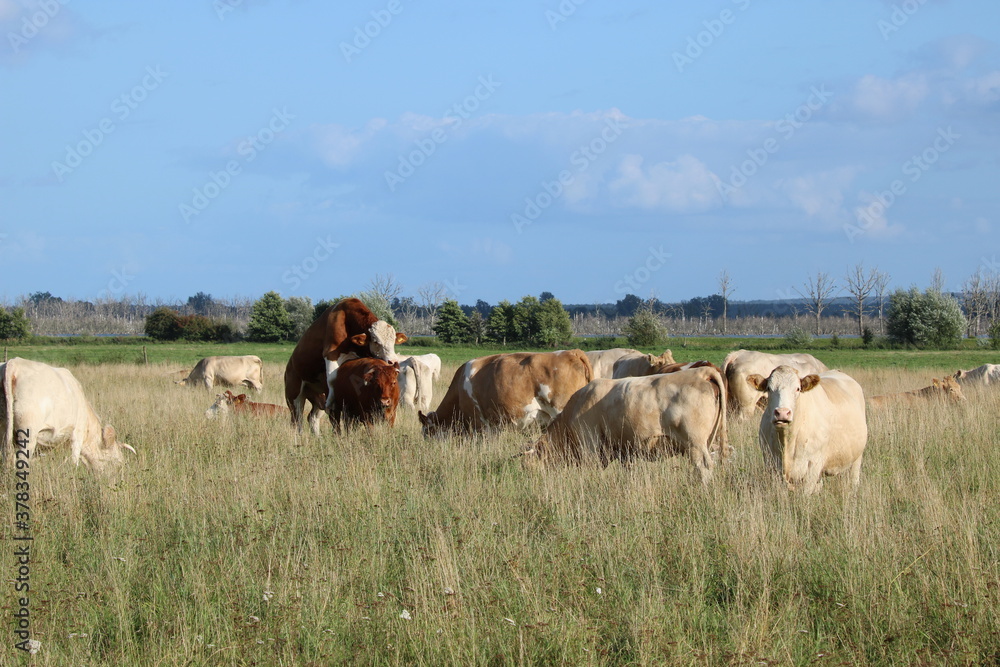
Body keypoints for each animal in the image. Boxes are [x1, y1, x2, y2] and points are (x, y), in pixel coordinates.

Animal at [284, 298, 408, 436]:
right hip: (294, 395)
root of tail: (289, 366)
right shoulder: (330, 354)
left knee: (312, 417)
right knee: (297, 419)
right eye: (376, 342)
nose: (393, 361)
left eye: (393, 341)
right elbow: (332, 378)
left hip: (318, 397)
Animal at [532, 366, 728, 486]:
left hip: (695, 442)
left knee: (703, 467)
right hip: (707, 441)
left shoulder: (589, 442)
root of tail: (701, 372)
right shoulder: (625, 450)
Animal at [752, 366, 868, 496]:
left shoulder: (813, 464)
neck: (787, 441)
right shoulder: (770, 462)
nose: (782, 412)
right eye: (769, 388)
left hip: (857, 457)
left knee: (854, 479)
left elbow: (805, 493)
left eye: (797, 388)